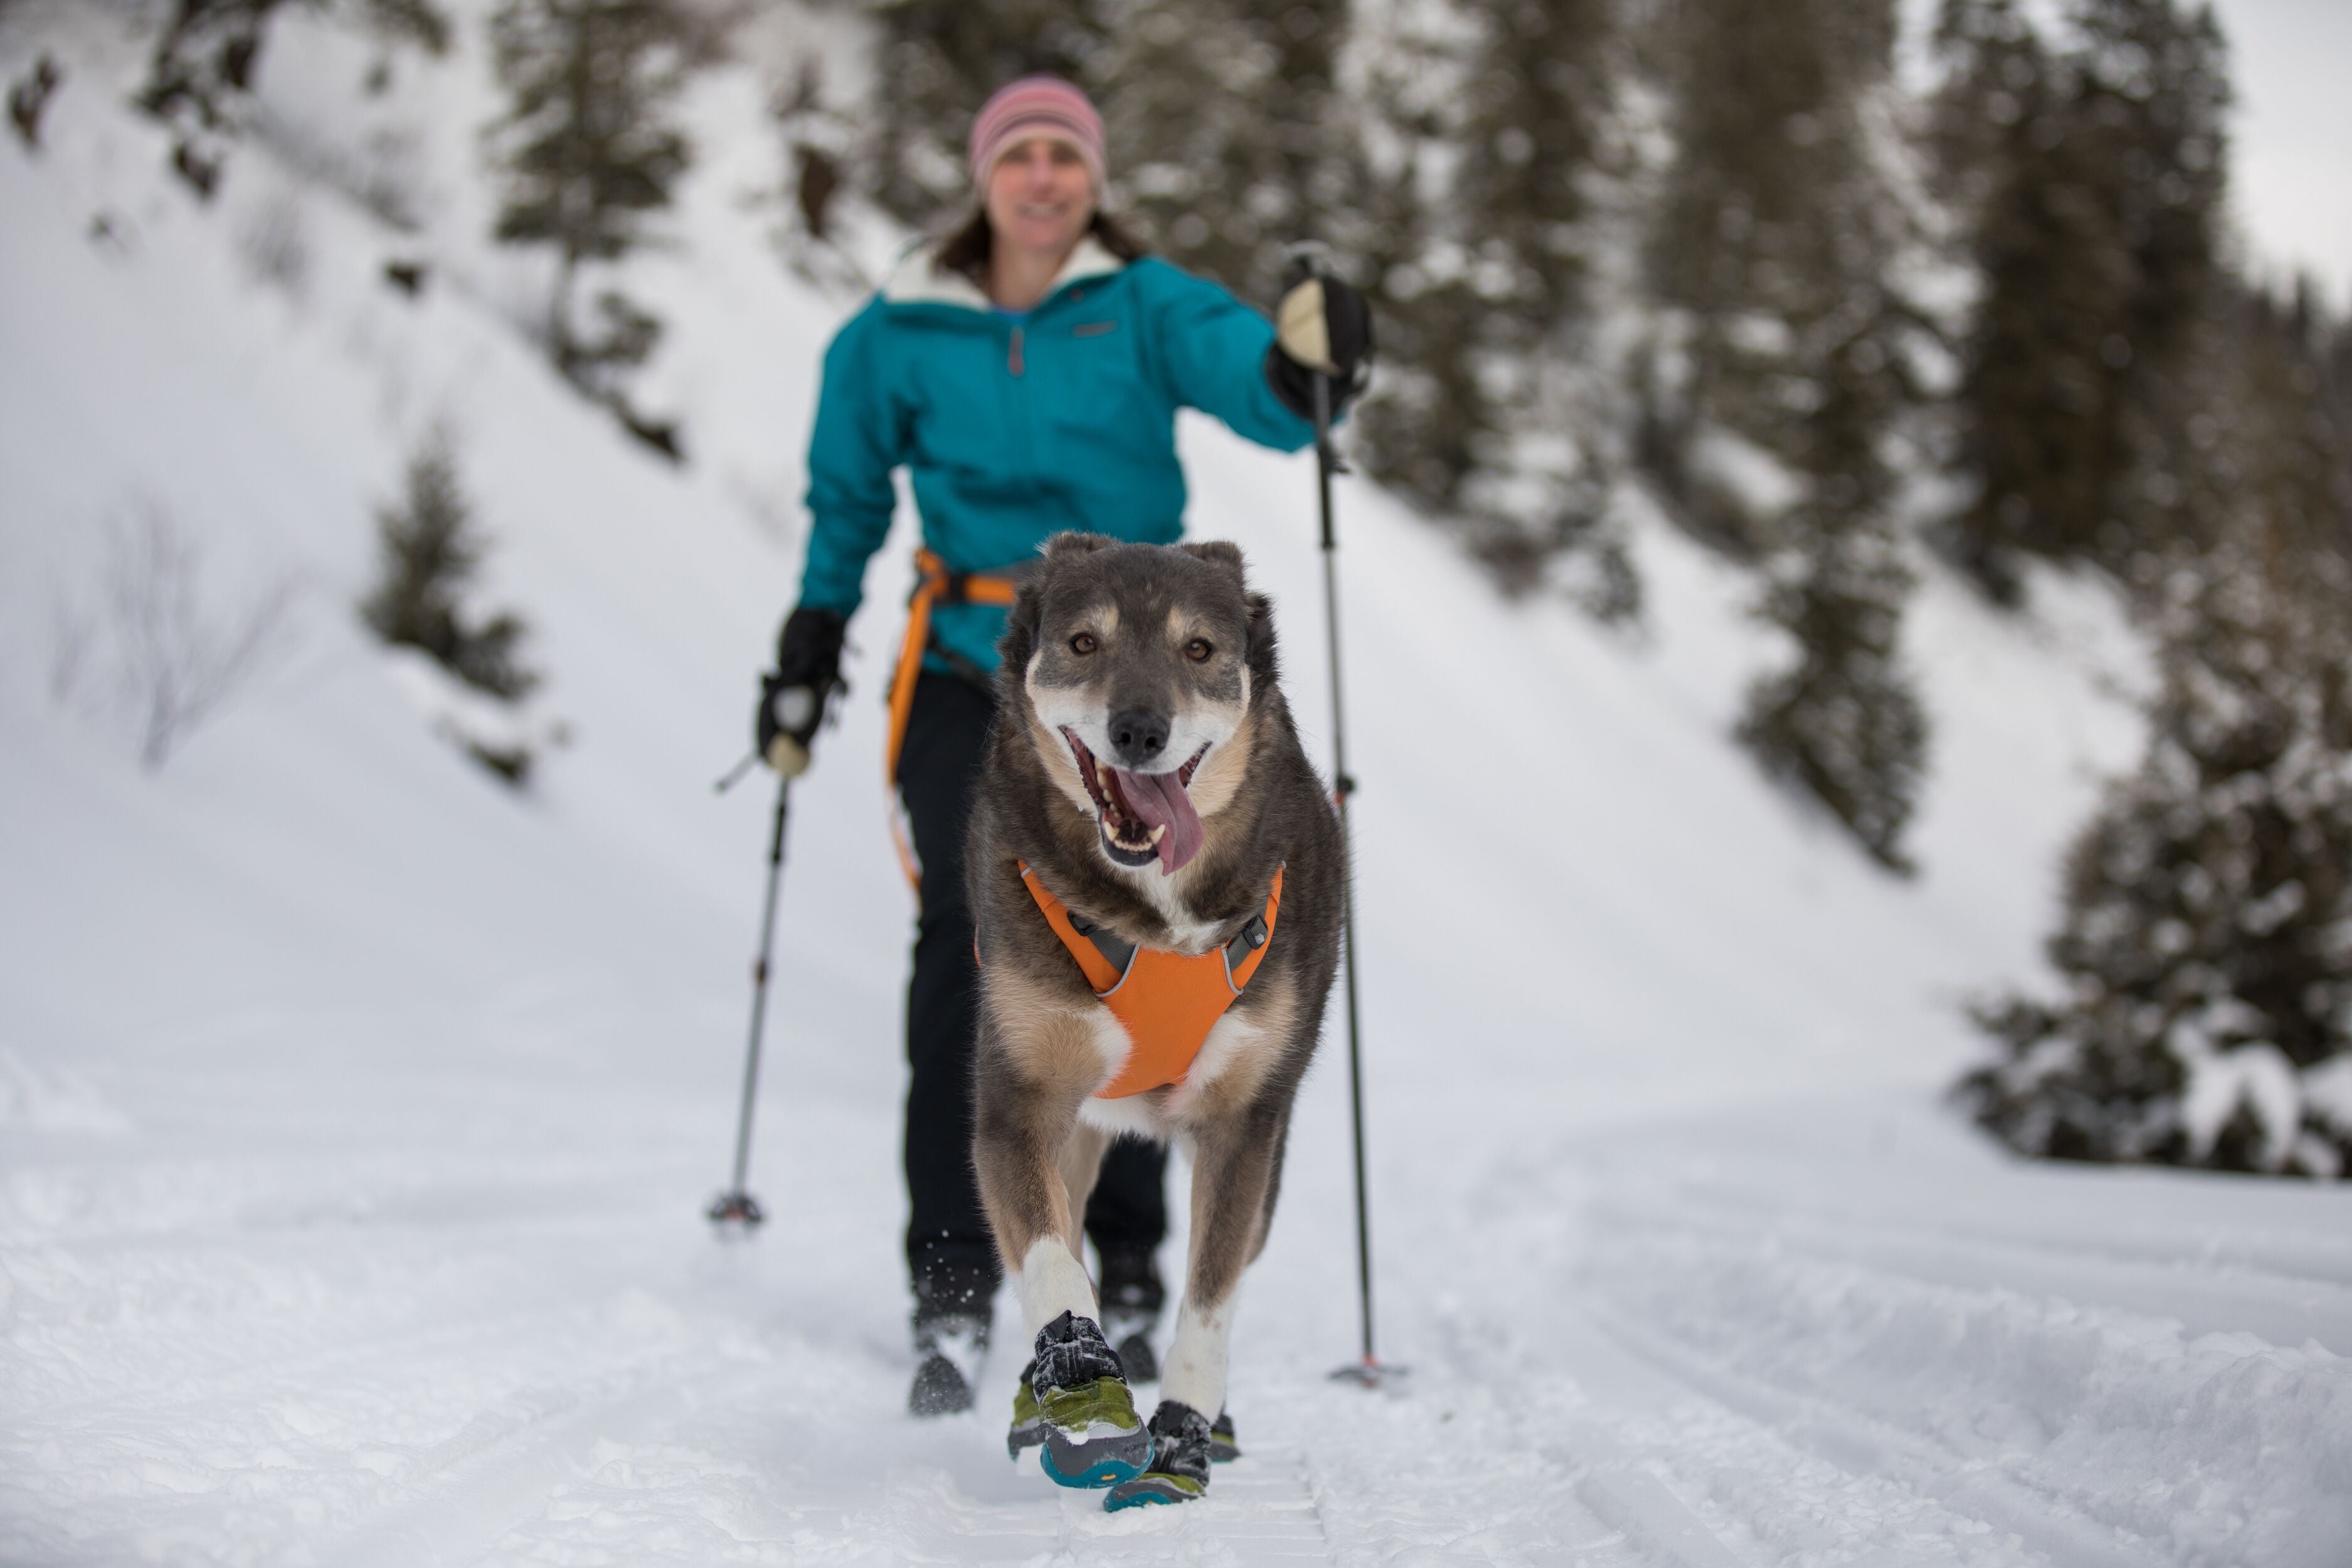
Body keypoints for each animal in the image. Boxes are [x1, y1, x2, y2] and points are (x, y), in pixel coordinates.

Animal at [964, 533, 1345, 1504]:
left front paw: (1179, 1438)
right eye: (1084, 642)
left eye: (1199, 650)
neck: (1155, 919)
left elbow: (1207, 1306)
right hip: (1077, 1127)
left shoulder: (1244, 1127)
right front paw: (1085, 1397)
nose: (1139, 732)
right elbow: (1053, 1263)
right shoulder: (1020, 1103)